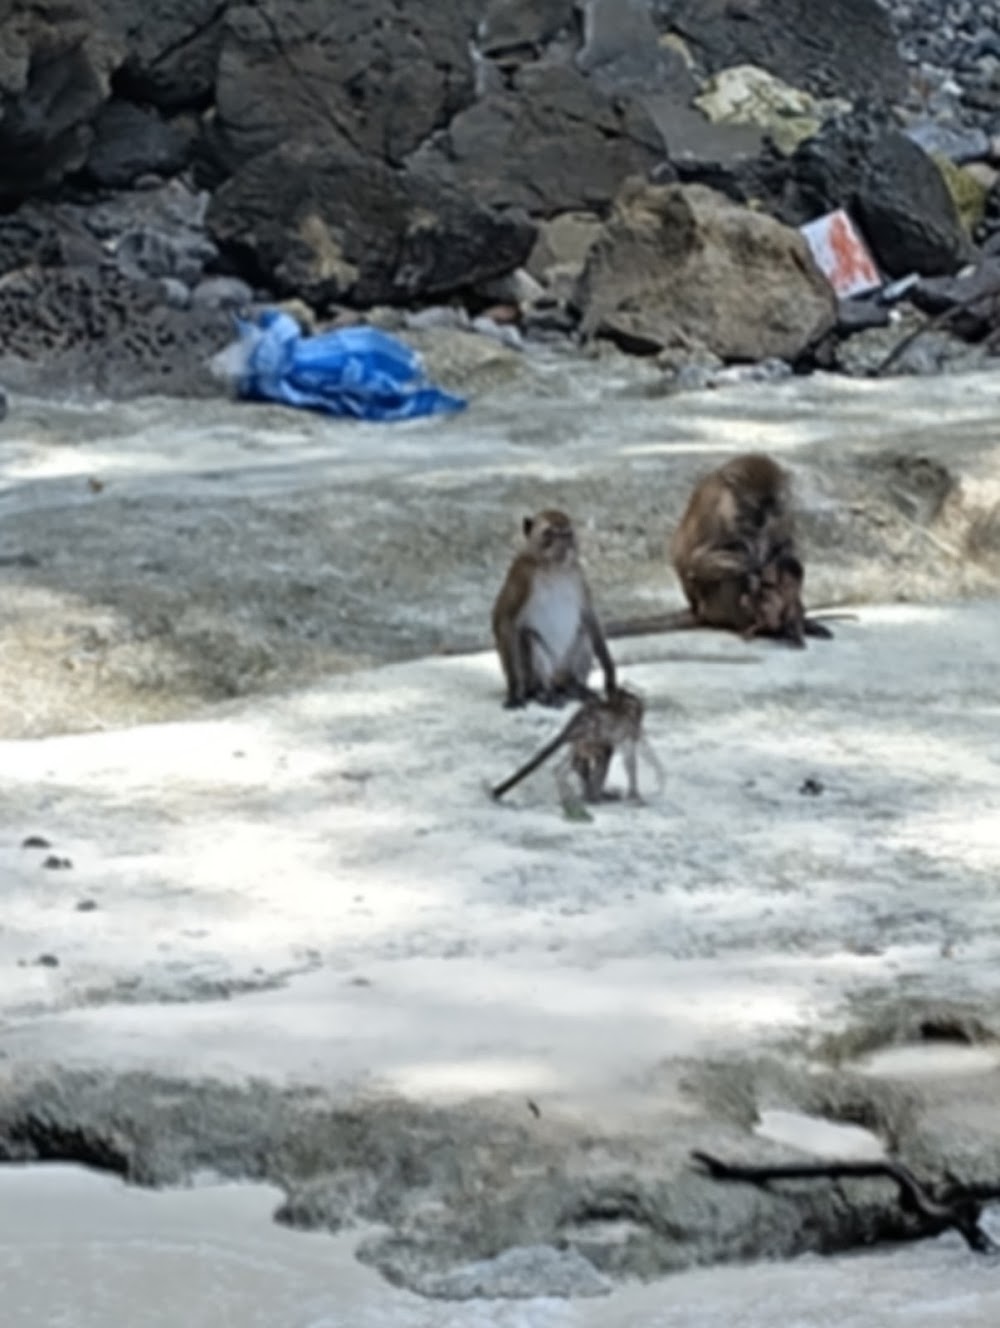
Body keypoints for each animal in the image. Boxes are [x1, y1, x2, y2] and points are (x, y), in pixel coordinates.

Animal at [491, 509, 617, 708]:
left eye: (566, 534)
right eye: (549, 533)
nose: (563, 545)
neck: (552, 568)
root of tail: (559, 680)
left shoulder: (577, 572)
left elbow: (589, 616)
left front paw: (609, 670)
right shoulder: (521, 574)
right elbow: (504, 619)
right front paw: (515, 690)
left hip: (565, 669)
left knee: (584, 631)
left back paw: (577, 688)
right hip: (538, 675)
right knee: (530, 637)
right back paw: (545, 693)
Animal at [491, 685, 663, 809]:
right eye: (638, 709)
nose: (640, 714)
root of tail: (575, 723)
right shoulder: (627, 727)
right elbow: (629, 758)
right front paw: (635, 794)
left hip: (582, 740)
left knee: (574, 761)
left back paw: (575, 787)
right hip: (591, 736)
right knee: (602, 753)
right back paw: (593, 796)